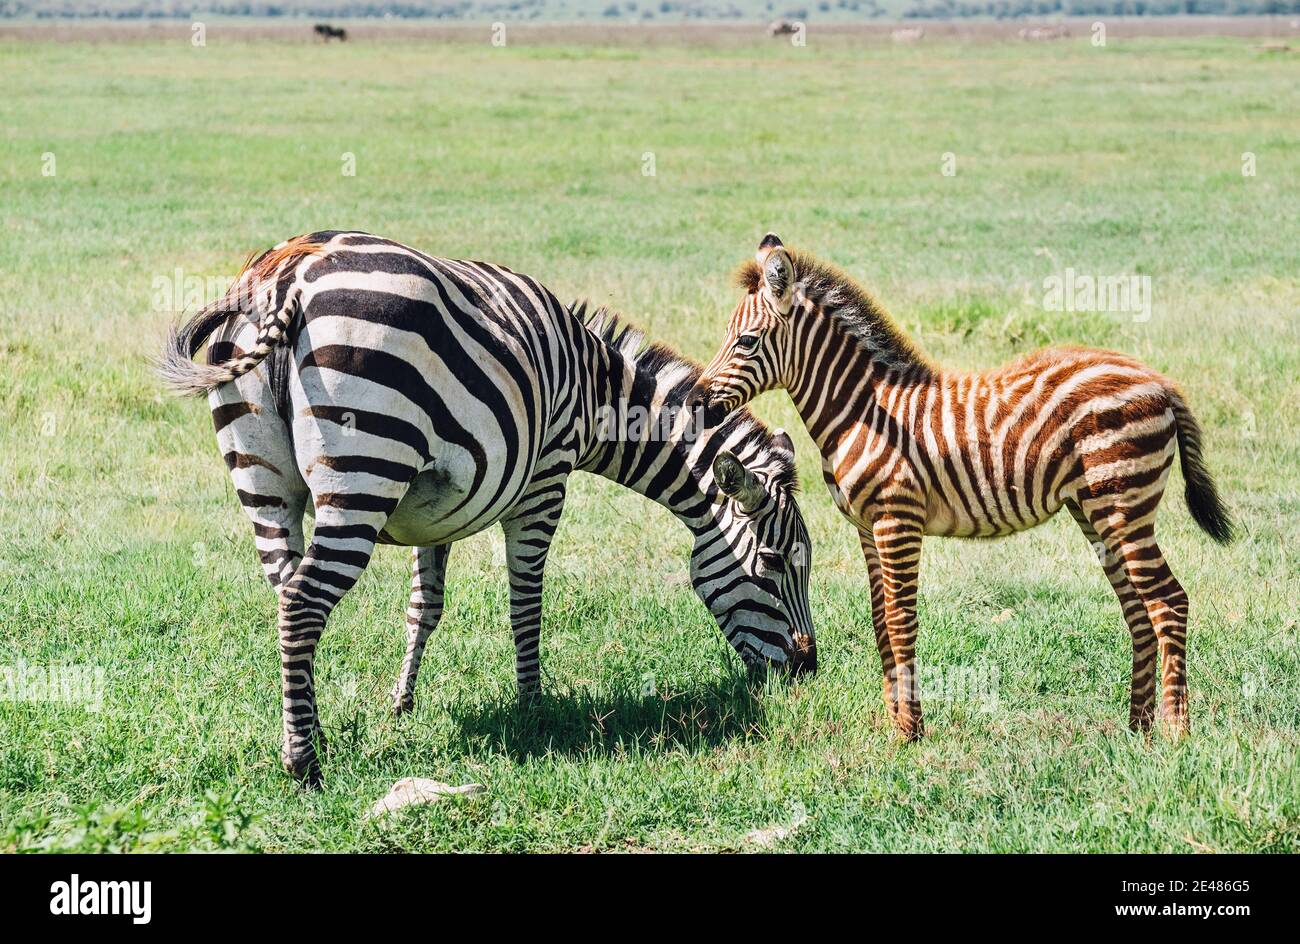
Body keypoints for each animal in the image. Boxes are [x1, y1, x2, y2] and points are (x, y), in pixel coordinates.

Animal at [159, 232, 811, 785]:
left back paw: (309, 731)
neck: (596, 391)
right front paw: (532, 709)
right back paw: (305, 765)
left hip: (265, 482)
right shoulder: (545, 481)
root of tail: (284, 274)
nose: (808, 671)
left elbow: (424, 608)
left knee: (284, 596)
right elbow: (527, 604)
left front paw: (402, 704)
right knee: (301, 605)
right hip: (363, 472)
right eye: (775, 563)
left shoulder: (433, 508)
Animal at [686, 232, 1232, 743]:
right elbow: (880, 622)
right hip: (1097, 511)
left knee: (1169, 601)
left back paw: (1176, 733)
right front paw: (893, 725)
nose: (694, 401)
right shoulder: (867, 527)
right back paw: (1137, 727)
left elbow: (901, 622)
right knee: (1138, 608)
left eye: (746, 342)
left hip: (1124, 504)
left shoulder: (898, 521)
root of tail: (1160, 381)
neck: (862, 411)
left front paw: (908, 734)